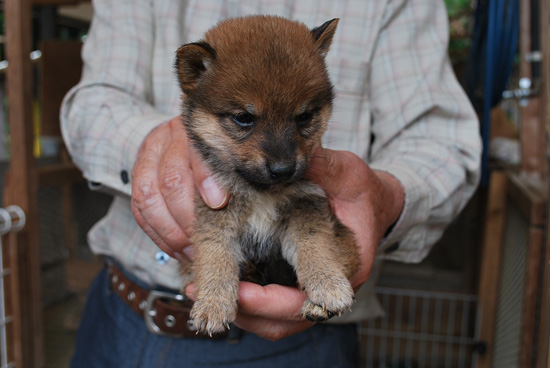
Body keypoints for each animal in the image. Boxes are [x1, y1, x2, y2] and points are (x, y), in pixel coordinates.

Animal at [175, 15, 360, 336]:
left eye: (304, 117)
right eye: (243, 118)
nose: (283, 169)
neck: (260, 192)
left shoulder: (308, 204)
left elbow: (316, 247)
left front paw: (328, 285)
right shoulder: (216, 210)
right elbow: (215, 256)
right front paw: (212, 303)